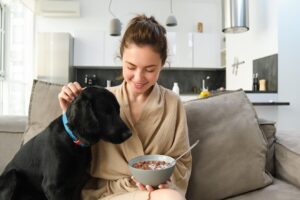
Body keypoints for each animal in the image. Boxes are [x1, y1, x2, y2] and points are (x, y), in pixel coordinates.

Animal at [0, 86, 131, 199]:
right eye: (106, 112)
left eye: (118, 111)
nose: (129, 133)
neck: (72, 140)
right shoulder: (53, 187)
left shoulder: (77, 183)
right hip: (12, 176)